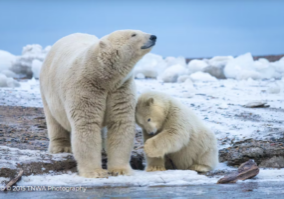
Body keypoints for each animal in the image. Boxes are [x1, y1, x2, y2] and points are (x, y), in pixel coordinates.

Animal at [39, 29, 156, 177]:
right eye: (133, 34)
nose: (153, 37)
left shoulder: (120, 88)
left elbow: (120, 123)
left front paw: (120, 170)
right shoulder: (84, 87)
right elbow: (87, 125)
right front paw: (95, 172)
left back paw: (103, 148)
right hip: (48, 89)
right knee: (54, 120)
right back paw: (61, 147)